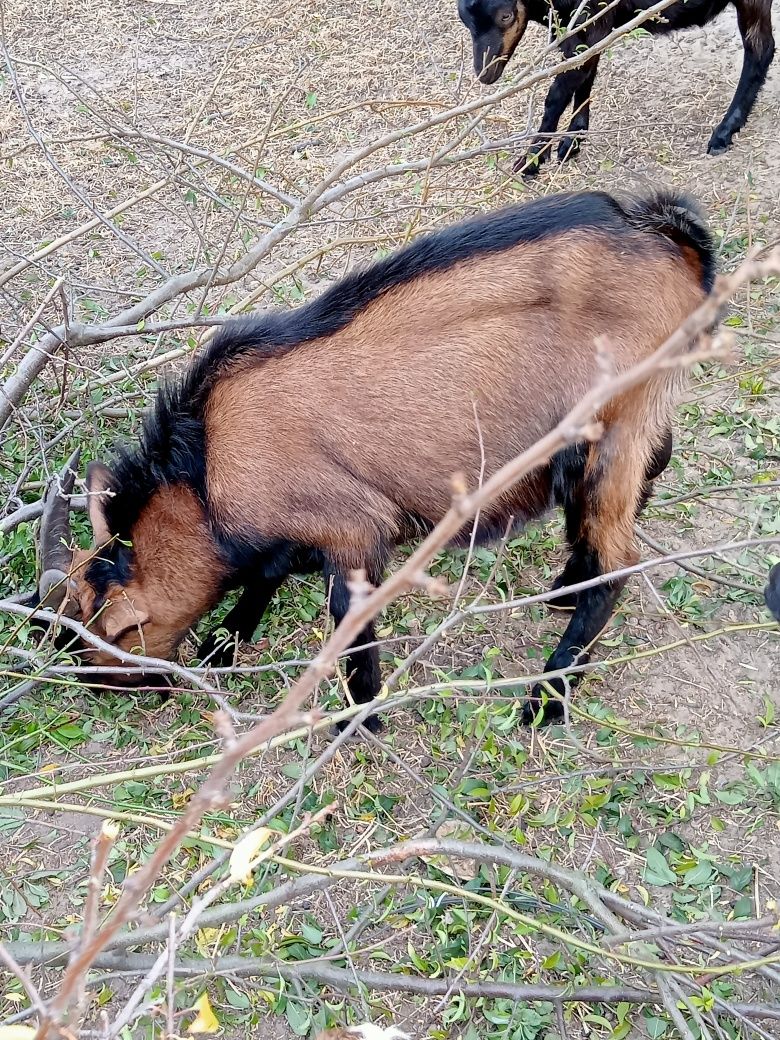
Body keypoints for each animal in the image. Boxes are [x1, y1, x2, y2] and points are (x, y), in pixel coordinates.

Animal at [36, 189, 719, 723]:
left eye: (102, 640)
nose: (126, 689)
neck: (205, 468)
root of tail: (669, 238)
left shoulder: (354, 530)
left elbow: (345, 617)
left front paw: (359, 716)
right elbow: (265, 575)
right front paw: (222, 645)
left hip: (608, 433)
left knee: (619, 560)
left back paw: (545, 699)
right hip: (639, 424)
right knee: (647, 479)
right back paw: (564, 590)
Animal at [457, 0, 777, 173]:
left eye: (506, 15)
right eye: (464, 21)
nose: (484, 74)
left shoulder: (590, 19)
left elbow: (557, 94)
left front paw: (531, 161)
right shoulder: (584, 27)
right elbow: (585, 76)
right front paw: (572, 140)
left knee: (760, 48)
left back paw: (724, 131)